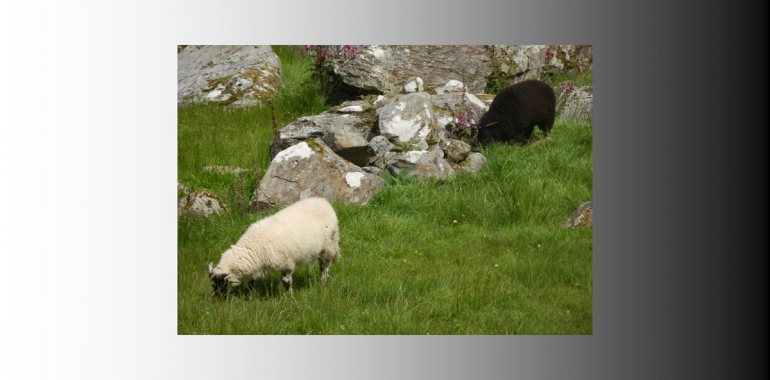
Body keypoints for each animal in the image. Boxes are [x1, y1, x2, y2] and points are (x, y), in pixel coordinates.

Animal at [210, 197, 342, 298]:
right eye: (213, 284)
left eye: (222, 284)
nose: (219, 298)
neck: (253, 246)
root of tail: (323, 201)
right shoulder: (257, 267)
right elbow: (252, 284)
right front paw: (249, 299)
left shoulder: (287, 264)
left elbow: (286, 283)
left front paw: (290, 298)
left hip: (329, 245)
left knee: (326, 266)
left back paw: (324, 282)